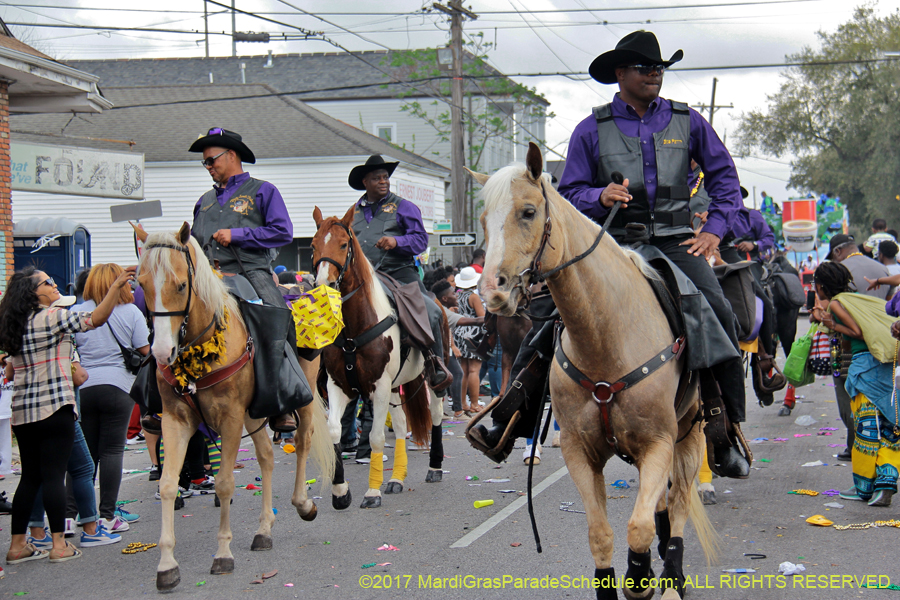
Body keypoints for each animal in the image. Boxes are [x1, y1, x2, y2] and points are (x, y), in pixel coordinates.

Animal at [132, 221, 332, 592]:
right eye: (140, 285)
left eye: (181, 285)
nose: (162, 353)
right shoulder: (176, 420)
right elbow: (167, 484)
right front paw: (167, 564)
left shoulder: (230, 419)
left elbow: (224, 483)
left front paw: (223, 554)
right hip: (254, 415)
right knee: (267, 456)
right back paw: (263, 530)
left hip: (305, 394)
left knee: (302, 442)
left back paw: (303, 503)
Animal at [312, 207, 446, 510]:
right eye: (312, 245)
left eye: (343, 244)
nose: (324, 285)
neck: (354, 328)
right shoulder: (339, 385)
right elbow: (335, 430)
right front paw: (341, 492)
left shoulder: (380, 386)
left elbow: (375, 437)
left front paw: (372, 492)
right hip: (397, 387)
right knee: (401, 424)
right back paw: (396, 479)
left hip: (433, 378)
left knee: (435, 414)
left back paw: (434, 467)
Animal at [474, 143, 712, 596]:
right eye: (483, 220)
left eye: (528, 212)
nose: (493, 292)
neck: (606, 336)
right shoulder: (579, 452)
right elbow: (601, 536)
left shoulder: (659, 442)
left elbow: (639, 529)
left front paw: (644, 576)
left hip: (690, 433)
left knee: (678, 503)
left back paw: (673, 577)